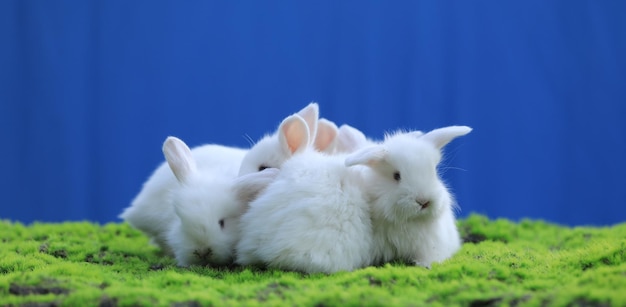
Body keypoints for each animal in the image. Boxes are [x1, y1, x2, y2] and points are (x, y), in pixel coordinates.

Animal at [344, 126, 470, 268]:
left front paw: (425, 264)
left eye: (434, 172)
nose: (423, 201)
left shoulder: (430, 243)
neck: (409, 221)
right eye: (396, 176)